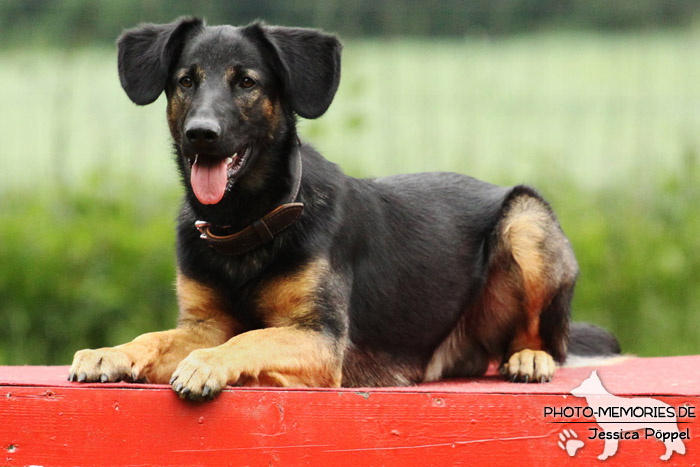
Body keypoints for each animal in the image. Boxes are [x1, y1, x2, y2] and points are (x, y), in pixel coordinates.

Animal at [69, 16, 616, 400]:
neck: (246, 222)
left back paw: (530, 358)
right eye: (186, 81)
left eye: (246, 82)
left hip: (525, 218)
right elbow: (155, 337)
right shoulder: (201, 324)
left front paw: (209, 364)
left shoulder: (318, 337)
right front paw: (111, 354)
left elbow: (246, 340)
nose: (200, 134)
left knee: (546, 339)